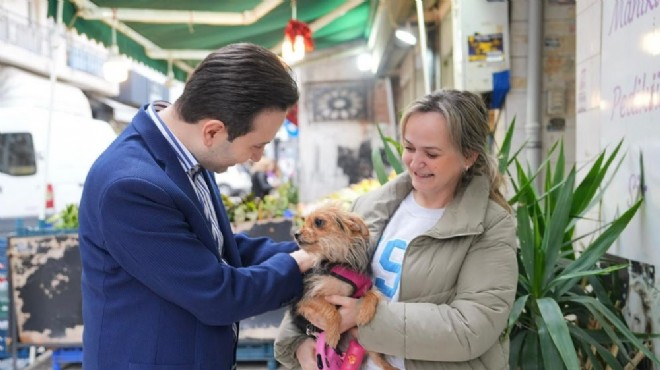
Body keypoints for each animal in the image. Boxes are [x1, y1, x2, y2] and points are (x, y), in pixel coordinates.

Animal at [292, 204, 394, 368]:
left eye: (319, 222)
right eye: (304, 221)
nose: (296, 234)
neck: (340, 261)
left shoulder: (365, 286)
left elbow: (373, 294)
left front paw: (365, 313)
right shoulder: (306, 298)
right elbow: (331, 310)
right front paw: (333, 334)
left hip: (360, 337)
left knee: (378, 359)